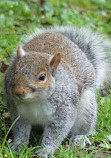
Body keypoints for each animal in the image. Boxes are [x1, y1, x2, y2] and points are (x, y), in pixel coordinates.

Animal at [4, 25, 111, 157]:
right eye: (14, 71)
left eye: (42, 77)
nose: (19, 92)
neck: (35, 100)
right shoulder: (18, 111)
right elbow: (20, 129)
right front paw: (18, 145)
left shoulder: (64, 109)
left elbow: (56, 132)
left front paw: (46, 150)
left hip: (86, 108)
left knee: (85, 125)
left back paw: (80, 138)